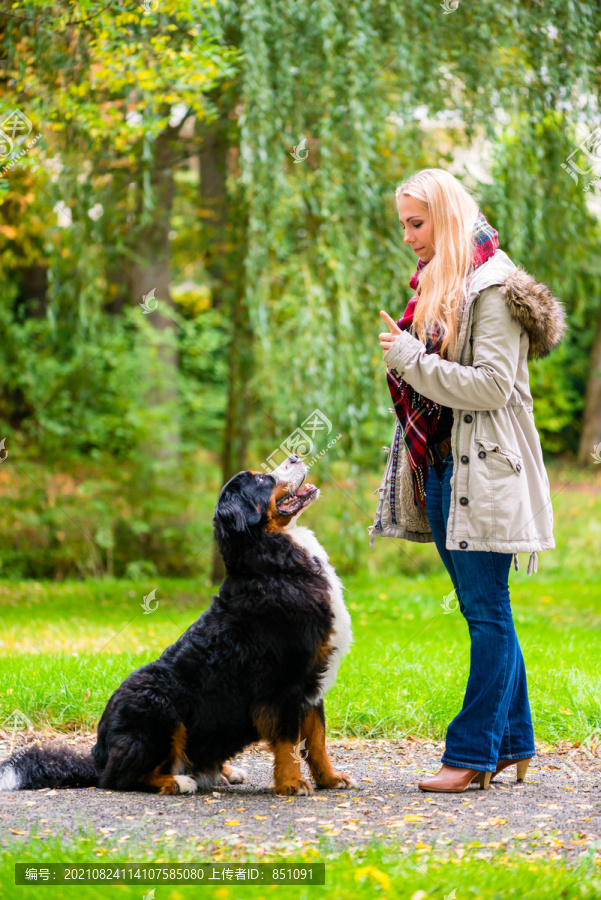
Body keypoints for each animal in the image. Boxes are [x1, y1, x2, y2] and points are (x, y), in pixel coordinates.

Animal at [0, 458, 354, 796]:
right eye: (262, 479)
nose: (294, 455)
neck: (270, 560)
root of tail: (98, 754)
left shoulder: (312, 680)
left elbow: (317, 740)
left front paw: (330, 779)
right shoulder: (285, 684)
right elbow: (288, 743)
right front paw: (292, 784)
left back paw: (222, 772)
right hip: (159, 707)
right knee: (118, 778)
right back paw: (176, 782)